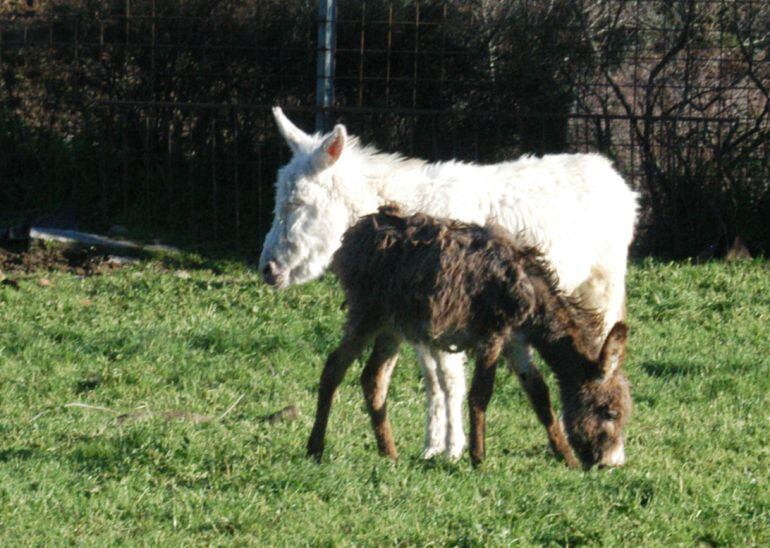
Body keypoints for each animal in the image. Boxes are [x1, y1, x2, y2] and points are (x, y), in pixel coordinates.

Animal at [306, 203, 632, 468]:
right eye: (610, 413)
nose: (609, 464)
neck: (533, 295)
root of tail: (358, 231)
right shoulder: (491, 335)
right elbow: (481, 394)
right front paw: (479, 458)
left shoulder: (516, 343)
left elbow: (540, 395)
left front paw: (566, 458)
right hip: (367, 314)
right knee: (333, 368)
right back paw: (315, 449)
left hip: (392, 327)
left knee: (373, 379)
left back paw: (389, 454)